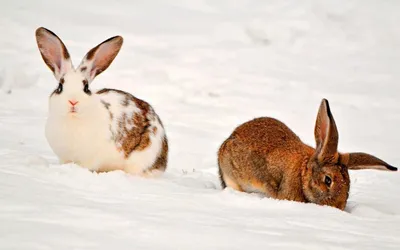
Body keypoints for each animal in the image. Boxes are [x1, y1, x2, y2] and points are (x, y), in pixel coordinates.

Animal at [35, 27, 170, 176]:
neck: (73, 120)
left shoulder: (90, 159)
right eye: (60, 87)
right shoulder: (64, 157)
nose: (73, 101)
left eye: (86, 88)